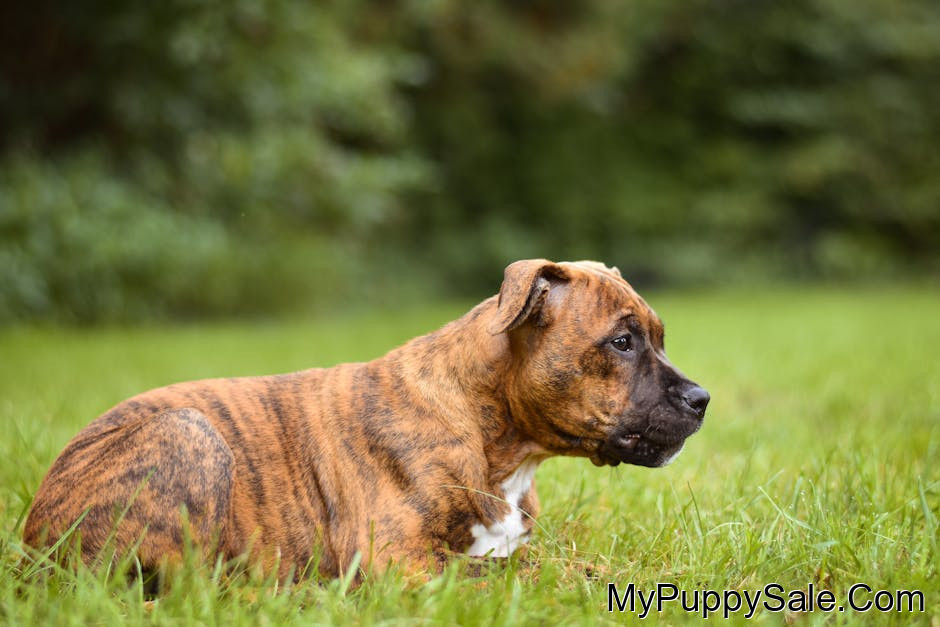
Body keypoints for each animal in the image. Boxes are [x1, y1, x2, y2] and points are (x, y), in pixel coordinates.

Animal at [23, 259, 708, 580]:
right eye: (622, 342)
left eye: (658, 337)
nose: (701, 399)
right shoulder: (404, 563)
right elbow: (517, 572)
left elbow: (559, 561)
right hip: (188, 433)